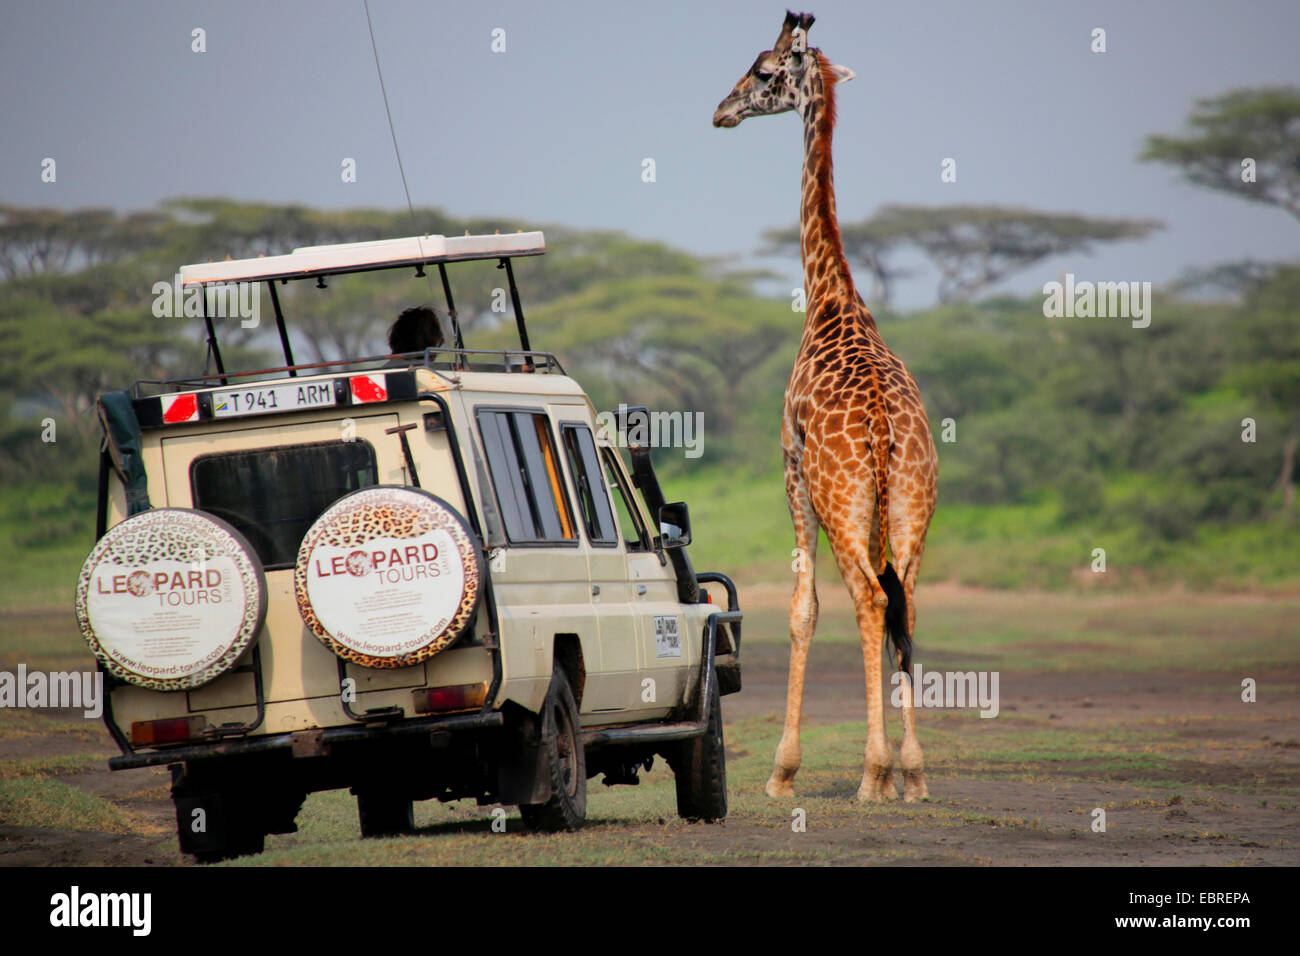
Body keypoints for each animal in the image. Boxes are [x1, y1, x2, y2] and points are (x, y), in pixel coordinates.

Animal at [713, 11, 938, 802]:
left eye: (763, 70)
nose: (720, 111)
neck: (831, 296)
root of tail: (883, 429)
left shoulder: (789, 468)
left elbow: (802, 611)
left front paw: (783, 772)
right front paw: (900, 772)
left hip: (841, 498)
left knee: (869, 599)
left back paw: (872, 772)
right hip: (908, 500)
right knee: (905, 601)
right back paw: (912, 771)